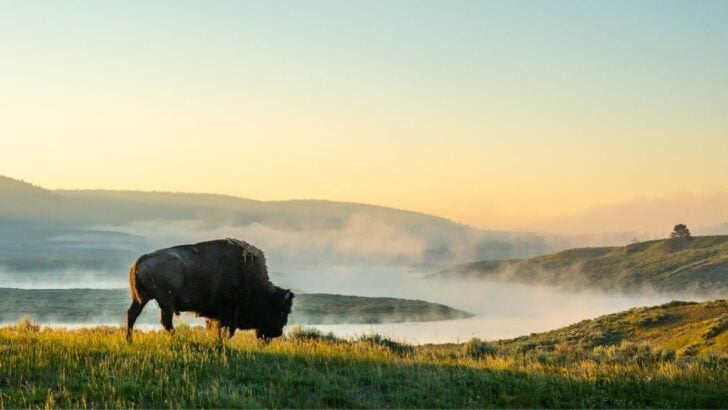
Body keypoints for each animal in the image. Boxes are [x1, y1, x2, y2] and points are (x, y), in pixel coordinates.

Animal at [126, 238, 293, 341]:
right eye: (282, 312)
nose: (278, 333)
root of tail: (140, 260)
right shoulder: (228, 311)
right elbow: (225, 330)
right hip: (166, 303)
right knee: (165, 322)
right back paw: (177, 338)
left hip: (142, 299)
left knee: (132, 314)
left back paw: (129, 341)